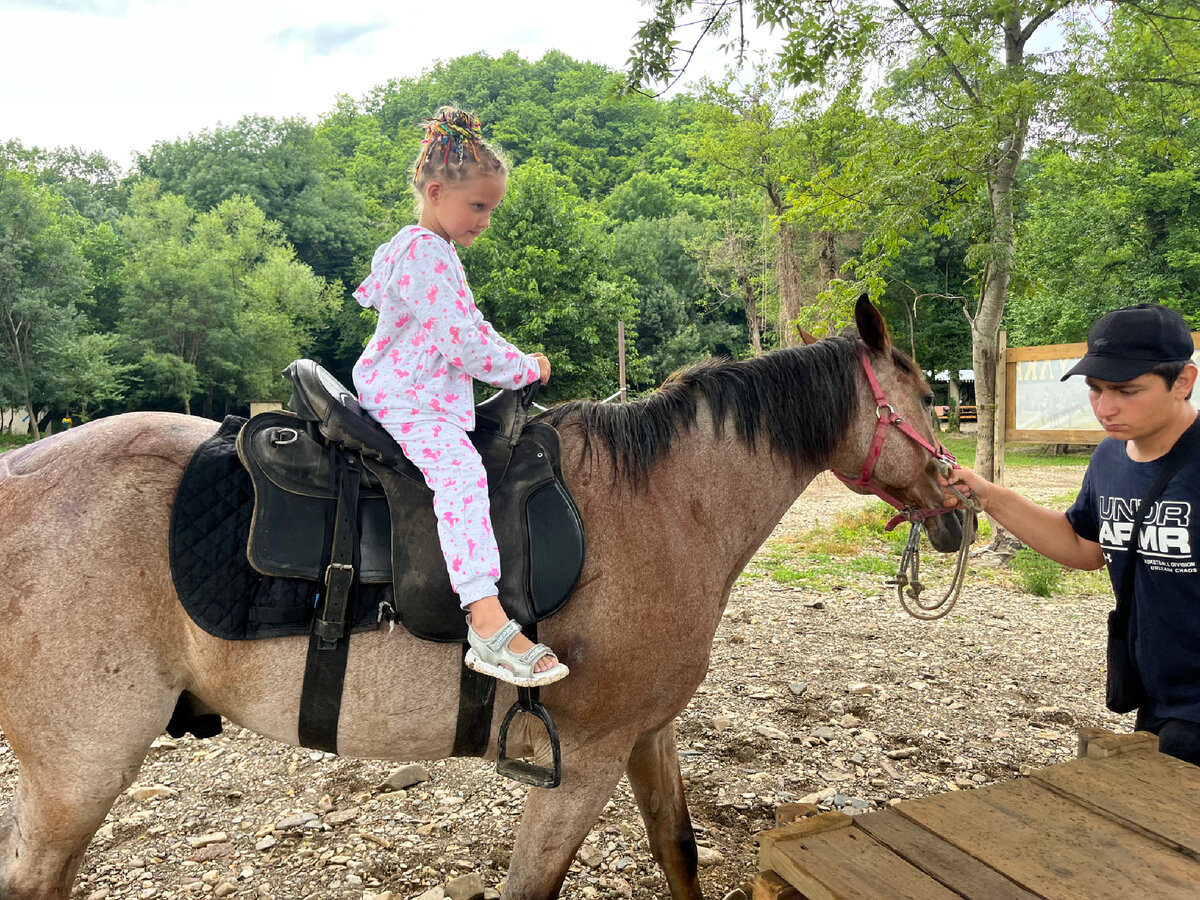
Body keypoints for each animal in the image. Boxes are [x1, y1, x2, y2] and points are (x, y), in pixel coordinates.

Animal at [0, 297, 960, 900]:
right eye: (926, 398)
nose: (961, 514)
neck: (667, 504)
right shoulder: (586, 759)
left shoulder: (647, 733)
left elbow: (678, 851)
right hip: (80, 769)